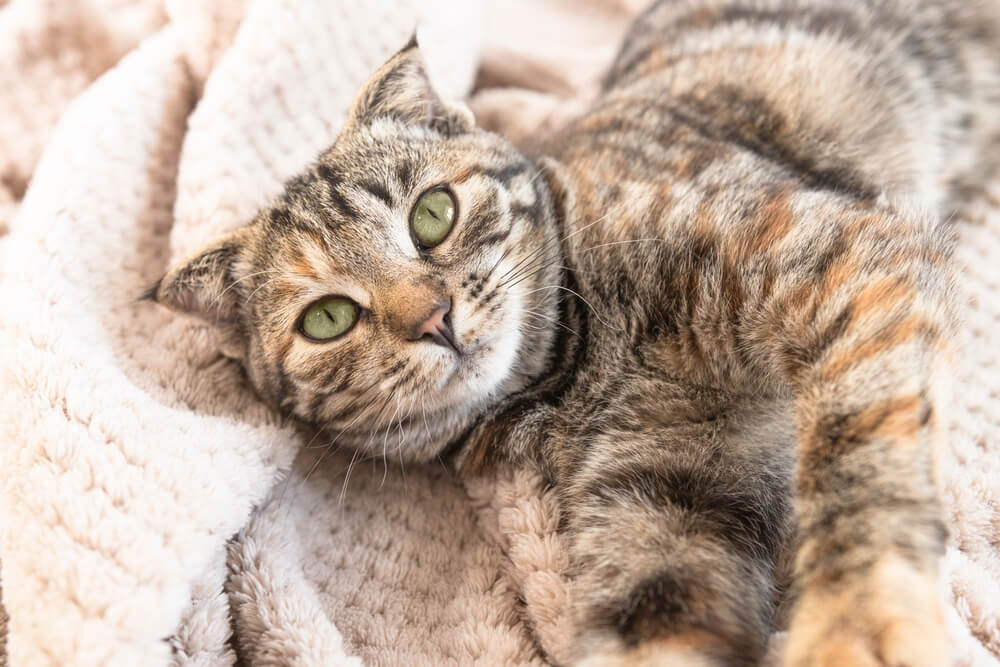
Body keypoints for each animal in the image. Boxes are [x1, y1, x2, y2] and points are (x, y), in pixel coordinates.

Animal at [146, 2, 1000, 664]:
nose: (432, 318)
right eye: (328, 318)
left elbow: (858, 461)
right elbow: (656, 619)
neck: (585, 360)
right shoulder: (663, 494)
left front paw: (860, 622)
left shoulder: (843, 260)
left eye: (432, 214)